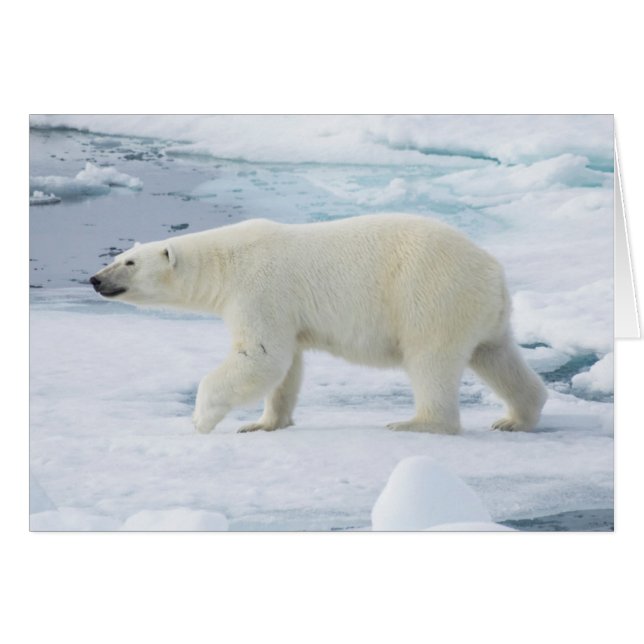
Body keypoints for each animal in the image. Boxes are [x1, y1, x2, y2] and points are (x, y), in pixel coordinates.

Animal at [90, 214, 547, 435]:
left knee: (430, 360)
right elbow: (286, 366)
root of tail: (493, 271)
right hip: (482, 312)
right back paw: (515, 417)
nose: (95, 279)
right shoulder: (284, 310)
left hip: (430, 295)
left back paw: (417, 423)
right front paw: (262, 423)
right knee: (497, 356)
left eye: (129, 263)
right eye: (117, 257)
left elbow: (261, 356)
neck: (225, 262)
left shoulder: (260, 288)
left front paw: (202, 420)